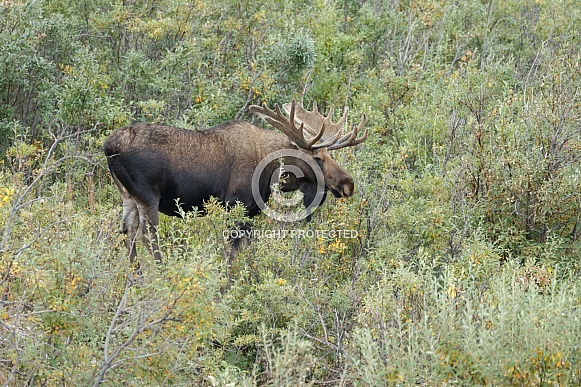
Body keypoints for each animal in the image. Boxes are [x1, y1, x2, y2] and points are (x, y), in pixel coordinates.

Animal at [103, 101, 368, 266]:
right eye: (318, 157)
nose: (348, 184)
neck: (271, 172)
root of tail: (109, 147)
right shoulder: (236, 206)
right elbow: (232, 253)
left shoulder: (250, 212)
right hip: (148, 196)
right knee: (147, 236)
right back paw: (162, 275)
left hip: (128, 196)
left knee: (127, 231)